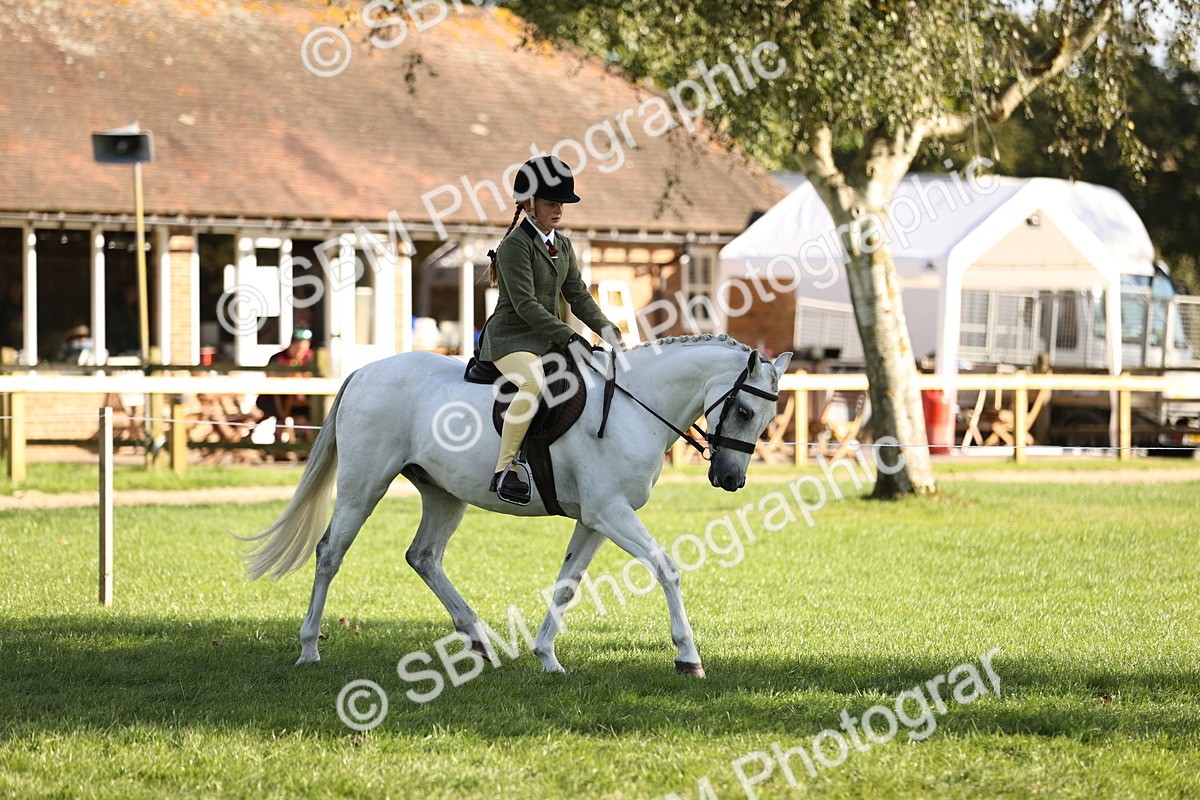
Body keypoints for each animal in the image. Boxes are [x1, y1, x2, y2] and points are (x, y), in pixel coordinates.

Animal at [243, 333, 792, 676]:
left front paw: (547, 656)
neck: (635, 406)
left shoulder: (596, 519)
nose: (731, 479)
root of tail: (364, 371)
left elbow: (568, 583)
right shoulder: (611, 512)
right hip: (364, 486)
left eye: (767, 418)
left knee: (423, 556)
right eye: (745, 411)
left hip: (443, 493)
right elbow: (666, 568)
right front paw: (687, 656)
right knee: (330, 554)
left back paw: (478, 639)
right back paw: (309, 648)